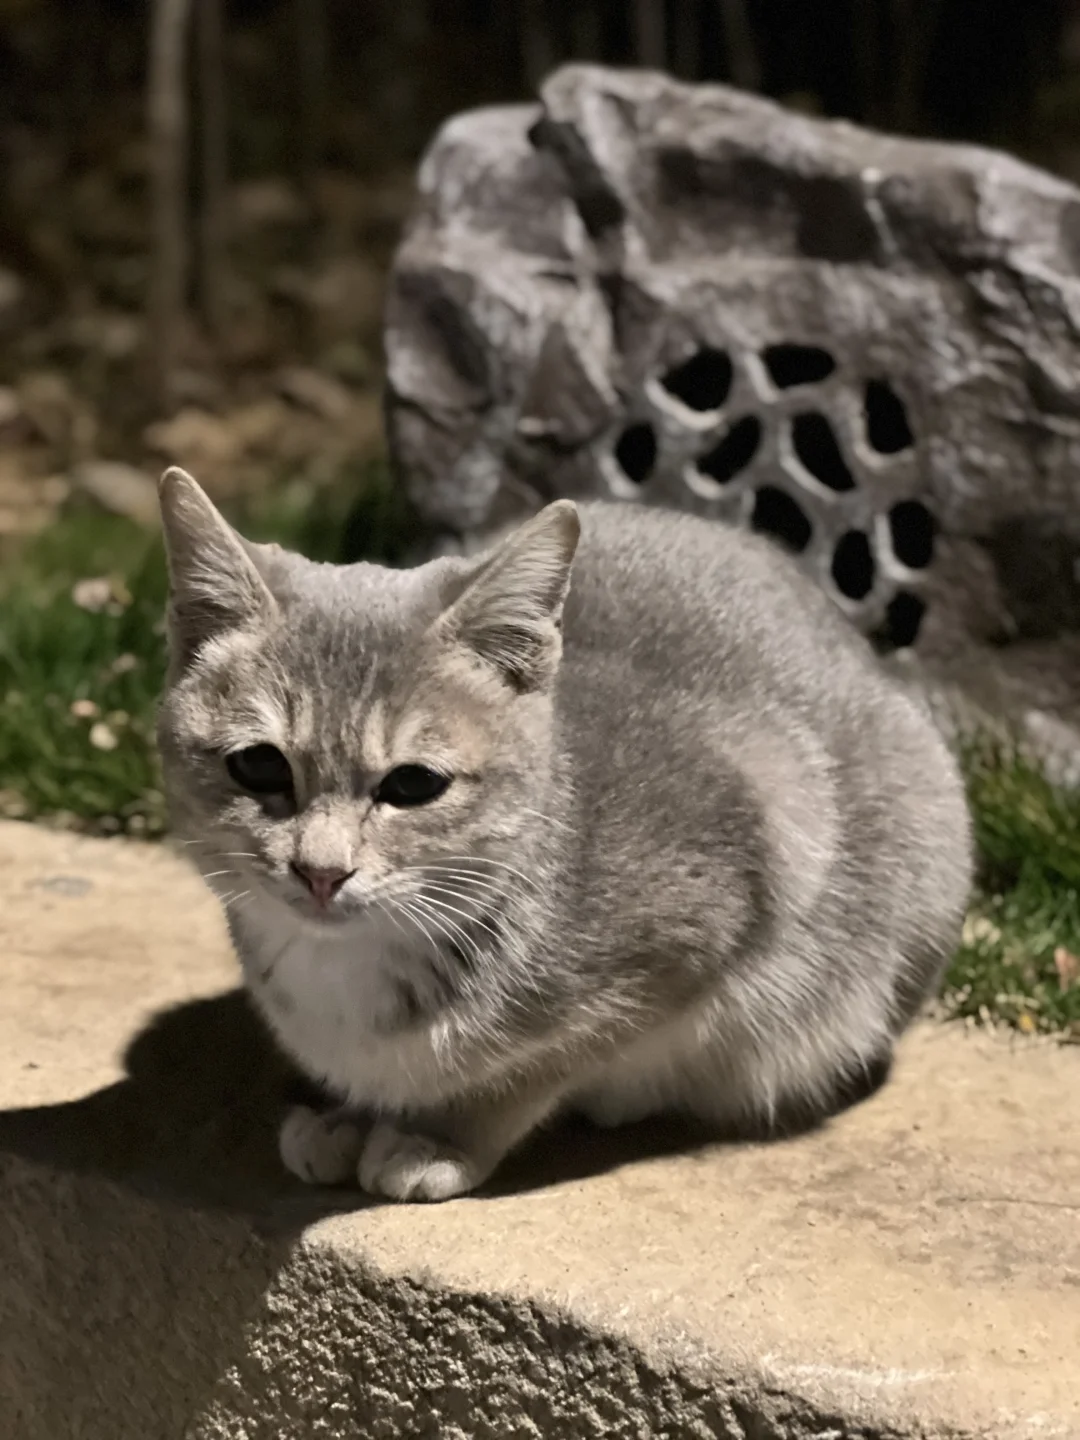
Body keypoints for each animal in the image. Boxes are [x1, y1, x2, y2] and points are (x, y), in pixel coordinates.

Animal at [156, 466, 979, 1198]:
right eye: (259, 766)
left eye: (413, 785)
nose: (321, 871)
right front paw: (346, 1111)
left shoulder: (711, 917)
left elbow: (534, 1067)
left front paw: (439, 1134)